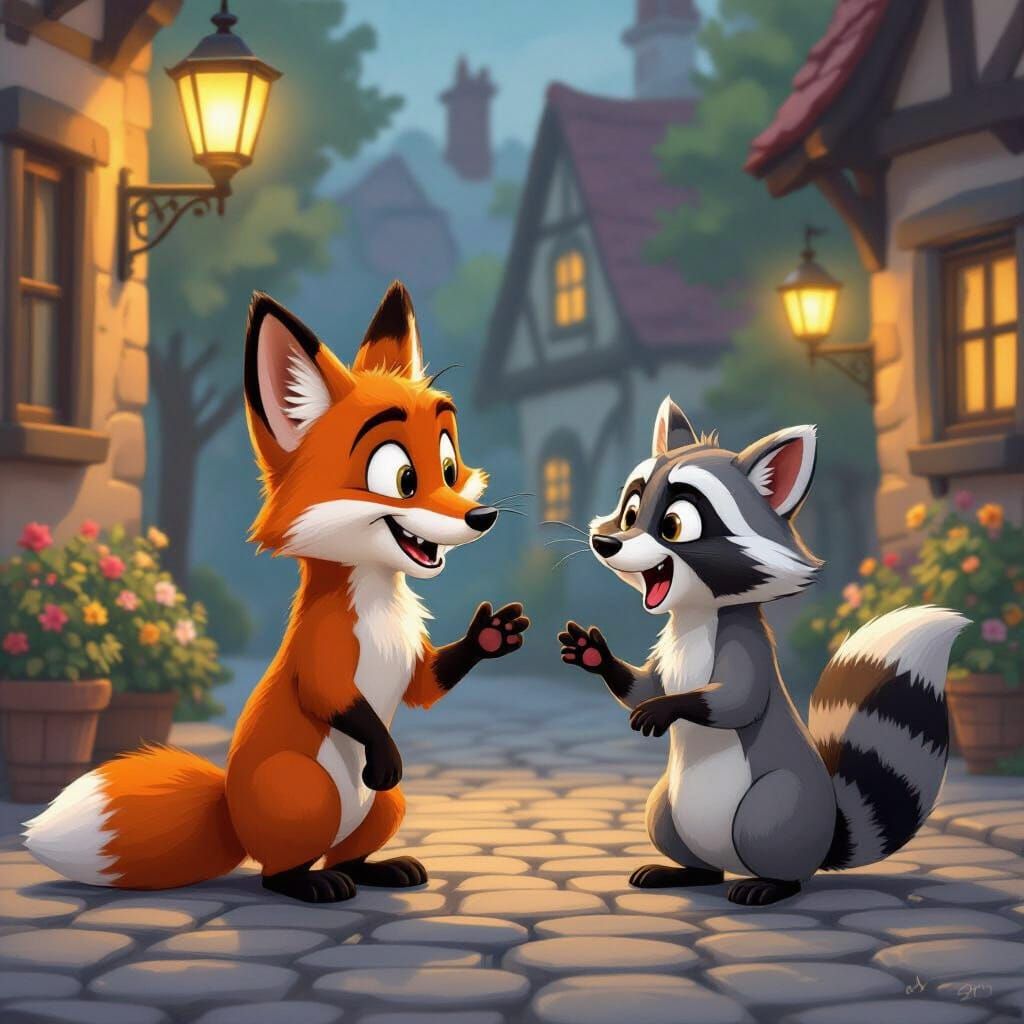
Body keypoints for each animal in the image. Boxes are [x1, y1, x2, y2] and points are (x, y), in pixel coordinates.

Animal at [24, 281, 529, 902]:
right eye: (403, 479)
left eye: (450, 466)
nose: (482, 517)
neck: (380, 607)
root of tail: (229, 812)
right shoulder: (324, 655)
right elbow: (339, 701)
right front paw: (384, 753)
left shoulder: (413, 666)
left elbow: (427, 687)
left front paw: (491, 635)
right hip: (305, 791)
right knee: (277, 872)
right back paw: (315, 885)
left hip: (386, 806)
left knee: (350, 851)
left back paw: (380, 870)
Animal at [560, 396, 967, 906]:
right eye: (630, 511)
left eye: (674, 525)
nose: (605, 542)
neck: (695, 617)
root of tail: (826, 835)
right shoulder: (668, 654)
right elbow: (643, 685)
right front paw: (596, 655)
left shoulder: (743, 643)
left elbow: (737, 698)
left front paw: (670, 707)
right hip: (668, 807)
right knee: (684, 844)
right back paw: (685, 870)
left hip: (778, 809)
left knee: (771, 833)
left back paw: (771, 884)